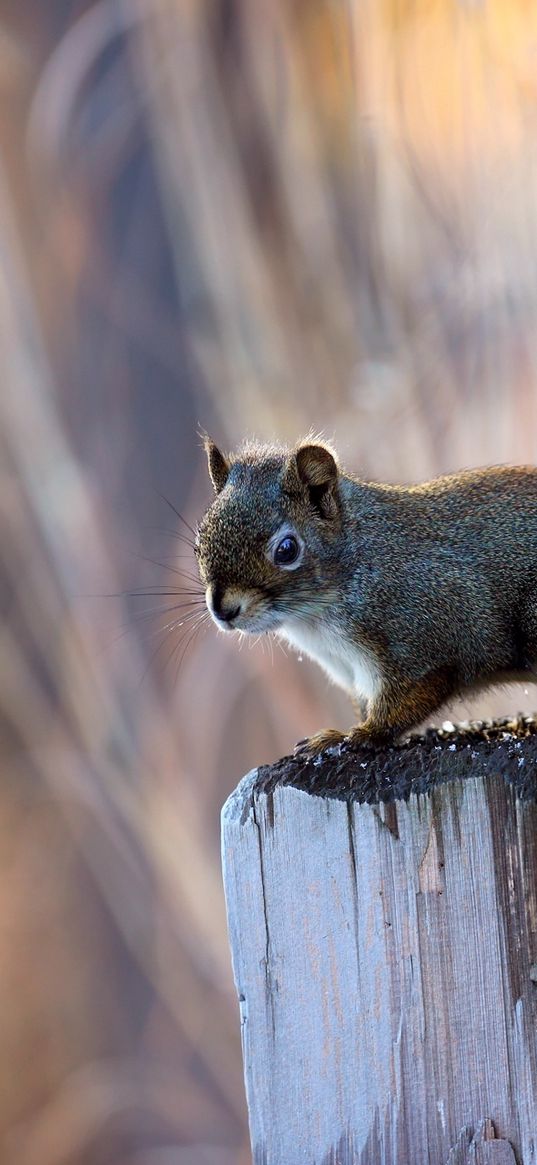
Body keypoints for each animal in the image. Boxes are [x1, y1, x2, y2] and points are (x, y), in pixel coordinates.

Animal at [194, 438, 535, 754]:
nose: (223, 609)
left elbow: (410, 698)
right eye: (198, 544)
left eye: (287, 550)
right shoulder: (351, 673)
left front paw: (357, 735)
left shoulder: (430, 633)